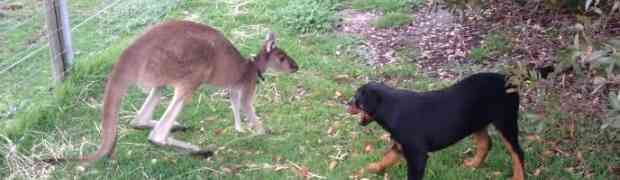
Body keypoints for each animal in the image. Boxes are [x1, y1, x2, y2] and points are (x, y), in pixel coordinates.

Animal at [346, 73, 524, 180]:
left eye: (356, 99)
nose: (346, 104)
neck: (392, 109)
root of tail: (509, 79)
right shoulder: (400, 146)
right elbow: (385, 159)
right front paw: (366, 170)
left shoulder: (417, 155)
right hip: (476, 122)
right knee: (485, 143)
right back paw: (473, 165)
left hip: (505, 121)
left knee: (517, 153)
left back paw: (518, 177)